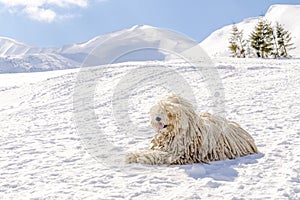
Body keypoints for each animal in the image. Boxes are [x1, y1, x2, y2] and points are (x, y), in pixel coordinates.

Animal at [126, 94, 258, 165]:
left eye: (168, 111)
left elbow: (157, 155)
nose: (157, 118)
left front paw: (136, 156)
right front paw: (134, 154)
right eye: (159, 110)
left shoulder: (175, 153)